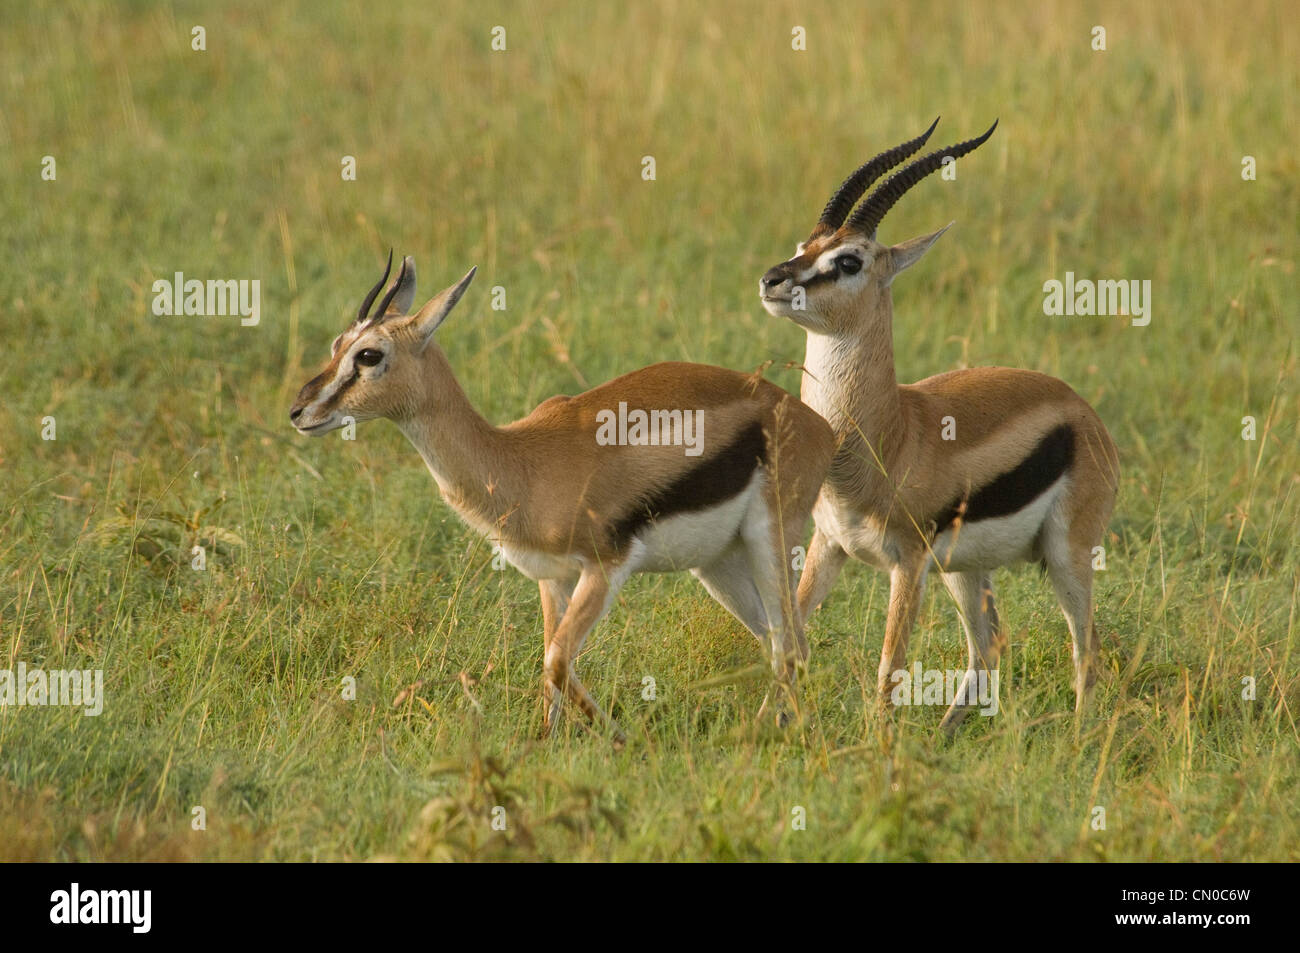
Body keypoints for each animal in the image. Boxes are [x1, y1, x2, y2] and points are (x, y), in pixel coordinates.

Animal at [290, 254, 836, 743]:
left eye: (368, 355)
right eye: (338, 345)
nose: (299, 410)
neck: (522, 462)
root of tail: (814, 421)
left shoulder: (604, 568)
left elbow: (556, 661)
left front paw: (624, 739)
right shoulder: (552, 579)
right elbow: (550, 667)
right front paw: (545, 743)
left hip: (771, 539)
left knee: (793, 644)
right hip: (717, 563)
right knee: (776, 641)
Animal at [759, 120, 1121, 731]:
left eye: (849, 261)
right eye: (803, 246)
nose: (772, 279)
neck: (887, 436)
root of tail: (1083, 412)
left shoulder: (906, 563)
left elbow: (889, 668)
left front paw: (879, 745)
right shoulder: (828, 544)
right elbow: (790, 640)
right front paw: (760, 727)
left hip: (1066, 556)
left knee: (1085, 647)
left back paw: (1077, 737)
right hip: (964, 569)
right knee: (989, 648)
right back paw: (945, 735)